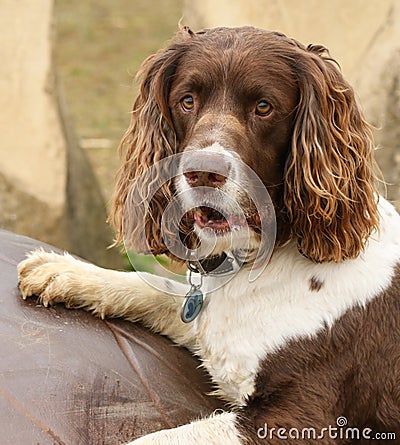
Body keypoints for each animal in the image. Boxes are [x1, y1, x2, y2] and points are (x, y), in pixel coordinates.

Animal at [17, 26, 398, 442]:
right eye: (187, 101)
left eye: (263, 106)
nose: (201, 171)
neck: (255, 259)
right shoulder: (208, 328)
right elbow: (159, 288)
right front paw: (63, 272)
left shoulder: (303, 416)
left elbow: (151, 437)